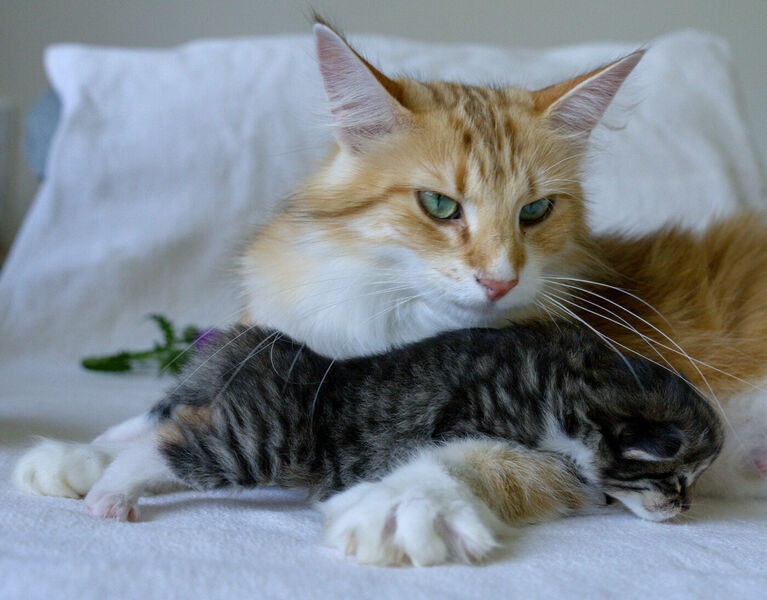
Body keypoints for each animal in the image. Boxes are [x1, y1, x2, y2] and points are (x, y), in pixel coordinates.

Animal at [76, 322, 720, 536]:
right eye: (677, 480)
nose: (687, 508)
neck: (577, 382)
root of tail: (267, 345)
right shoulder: (478, 423)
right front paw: (588, 492)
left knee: (160, 419)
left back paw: (103, 448)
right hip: (260, 439)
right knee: (168, 449)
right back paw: (111, 494)